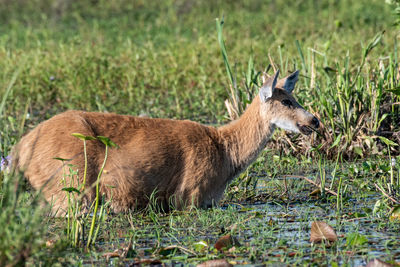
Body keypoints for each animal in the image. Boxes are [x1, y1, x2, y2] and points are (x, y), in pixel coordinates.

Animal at [10, 69, 320, 216]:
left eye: (293, 97)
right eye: (287, 102)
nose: (315, 120)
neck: (225, 152)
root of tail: (20, 149)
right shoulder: (190, 195)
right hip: (69, 183)